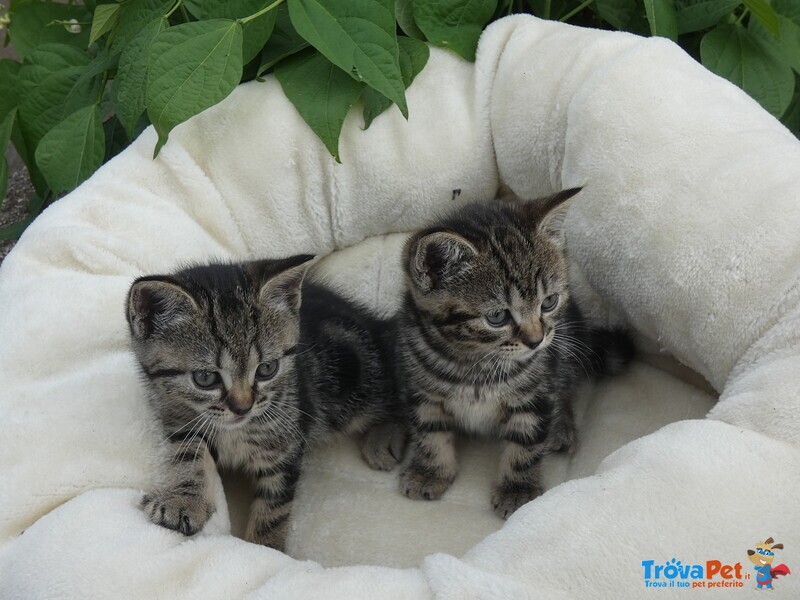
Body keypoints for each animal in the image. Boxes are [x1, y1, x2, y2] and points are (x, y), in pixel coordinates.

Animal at [131, 255, 410, 552]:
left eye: (267, 369)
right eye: (205, 378)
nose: (243, 407)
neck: (236, 431)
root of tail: (376, 325)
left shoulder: (288, 444)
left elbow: (275, 508)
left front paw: (265, 548)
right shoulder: (178, 417)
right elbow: (187, 453)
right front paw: (183, 500)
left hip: (356, 383)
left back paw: (384, 437)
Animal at [396, 190, 636, 516]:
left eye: (549, 302)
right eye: (497, 316)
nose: (537, 340)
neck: (475, 363)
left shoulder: (535, 393)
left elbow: (526, 444)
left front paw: (518, 490)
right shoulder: (422, 389)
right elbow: (429, 432)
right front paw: (429, 472)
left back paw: (561, 427)